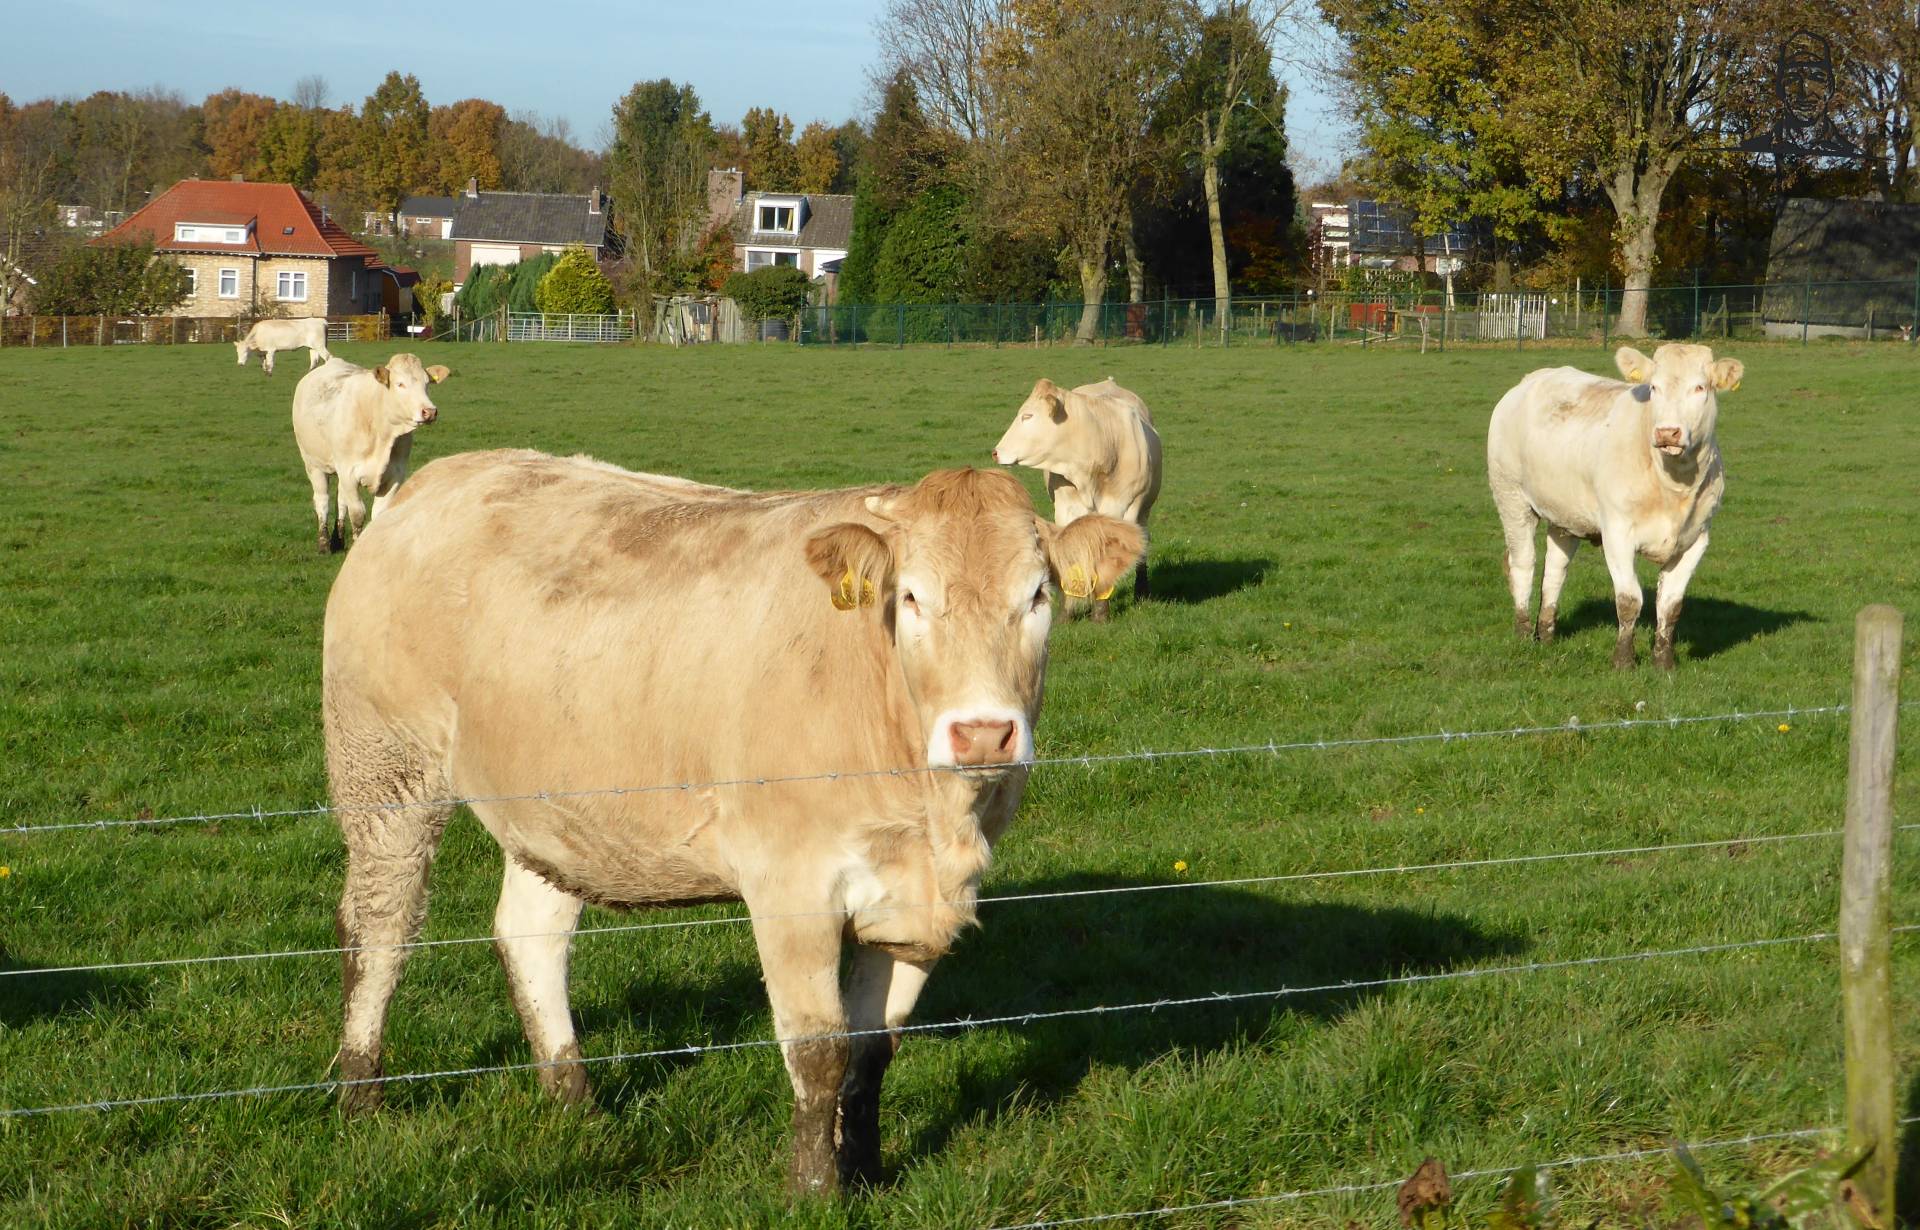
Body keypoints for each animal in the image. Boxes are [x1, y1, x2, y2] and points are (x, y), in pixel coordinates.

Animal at [292, 354, 450, 553]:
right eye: (400, 384)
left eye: (427, 383)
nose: (429, 412)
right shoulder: (349, 473)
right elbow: (358, 514)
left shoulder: (395, 476)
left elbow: (379, 514)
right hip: (313, 463)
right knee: (322, 501)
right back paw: (324, 544)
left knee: (340, 500)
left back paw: (338, 539)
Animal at [321, 452, 1144, 1194]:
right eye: (910, 597)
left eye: (1038, 595)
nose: (982, 733)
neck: (931, 814)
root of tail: (437, 481)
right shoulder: (792, 885)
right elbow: (819, 1049)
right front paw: (813, 1190)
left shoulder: (921, 901)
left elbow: (873, 1051)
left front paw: (867, 1170)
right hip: (385, 770)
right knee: (379, 926)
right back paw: (361, 1095)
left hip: (553, 804)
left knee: (531, 936)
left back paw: (574, 1101)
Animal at [990, 376, 1162, 622]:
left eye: (1028, 416)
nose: (996, 452)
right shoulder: (1067, 509)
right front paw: (1066, 614)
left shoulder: (1123, 510)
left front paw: (1101, 614)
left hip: (1143, 512)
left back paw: (1141, 591)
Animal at [1487, 343, 1744, 670]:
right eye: (1654, 387)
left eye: (1699, 387)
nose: (1667, 432)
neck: (1673, 485)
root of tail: (1531, 379)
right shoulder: (1617, 533)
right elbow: (1629, 600)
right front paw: (1624, 660)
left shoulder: (1696, 539)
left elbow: (1671, 605)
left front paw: (1664, 662)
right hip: (1511, 496)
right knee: (1523, 563)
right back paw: (1523, 635)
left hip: (1564, 513)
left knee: (1555, 570)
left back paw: (1545, 635)